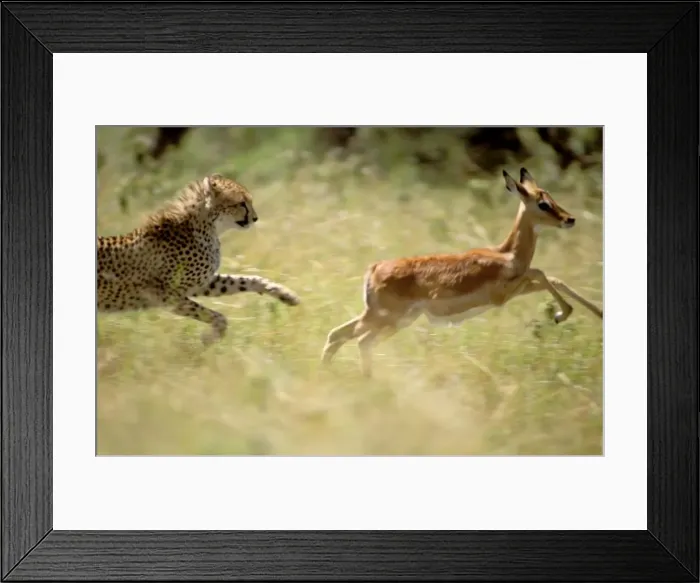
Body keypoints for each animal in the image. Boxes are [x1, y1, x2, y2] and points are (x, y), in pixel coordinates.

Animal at [97, 173, 300, 345]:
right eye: (241, 203)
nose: (255, 218)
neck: (207, 227)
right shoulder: (164, 295)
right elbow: (216, 316)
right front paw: (208, 339)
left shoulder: (203, 282)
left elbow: (247, 280)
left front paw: (285, 294)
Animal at [321, 167, 603, 377]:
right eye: (543, 203)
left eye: (551, 197)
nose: (570, 219)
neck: (506, 255)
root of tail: (374, 268)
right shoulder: (504, 294)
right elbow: (541, 273)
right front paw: (561, 314)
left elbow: (553, 277)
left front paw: (595, 313)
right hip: (385, 318)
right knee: (352, 339)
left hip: (395, 320)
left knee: (343, 337)